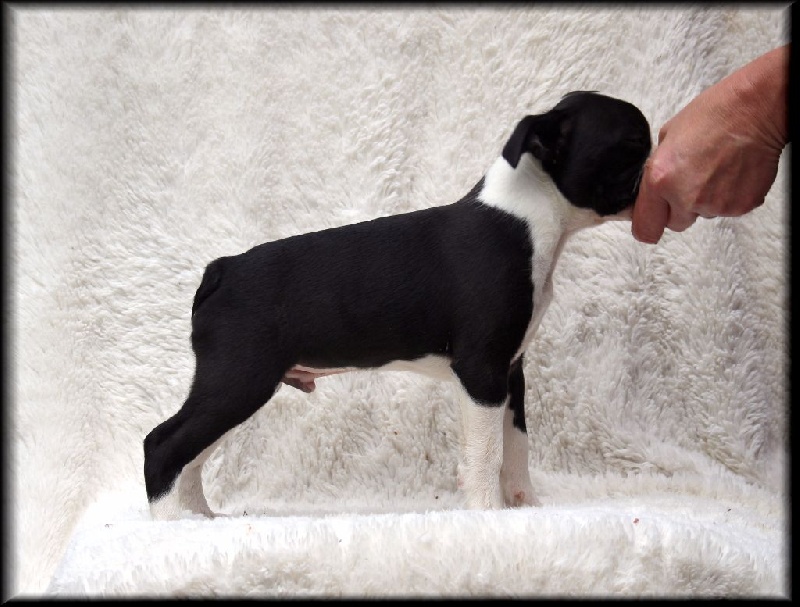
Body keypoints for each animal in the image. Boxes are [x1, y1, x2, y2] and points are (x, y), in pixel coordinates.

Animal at [143, 91, 652, 520]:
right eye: (633, 142)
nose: (658, 157)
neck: (528, 217)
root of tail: (222, 269)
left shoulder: (511, 372)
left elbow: (517, 448)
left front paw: (526, 508)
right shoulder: (482, 370)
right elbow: (487, 453)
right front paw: (490, 516)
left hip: (237, 385)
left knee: (191, 455)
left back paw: (201, 518)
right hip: (239, 378)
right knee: (164, 445)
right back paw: (175, 525)